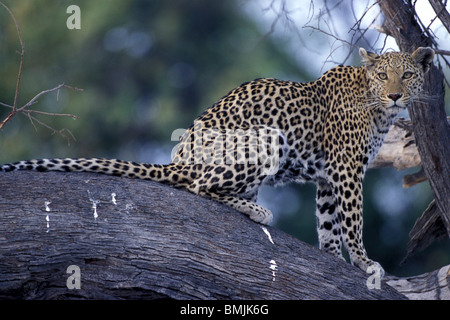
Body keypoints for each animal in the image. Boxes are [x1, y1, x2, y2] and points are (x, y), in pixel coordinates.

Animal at [1, 47, 434, 276]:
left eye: (407, 74)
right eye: (383, 75)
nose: (395, 95)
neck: (378, 109)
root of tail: (179, 159)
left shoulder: (329, 177)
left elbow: (328, 221)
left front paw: (332, 258)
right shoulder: (346, 170)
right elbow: (353, 219)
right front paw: (364, 262)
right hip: (266, 139)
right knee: (199, 185)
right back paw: (257, 211)